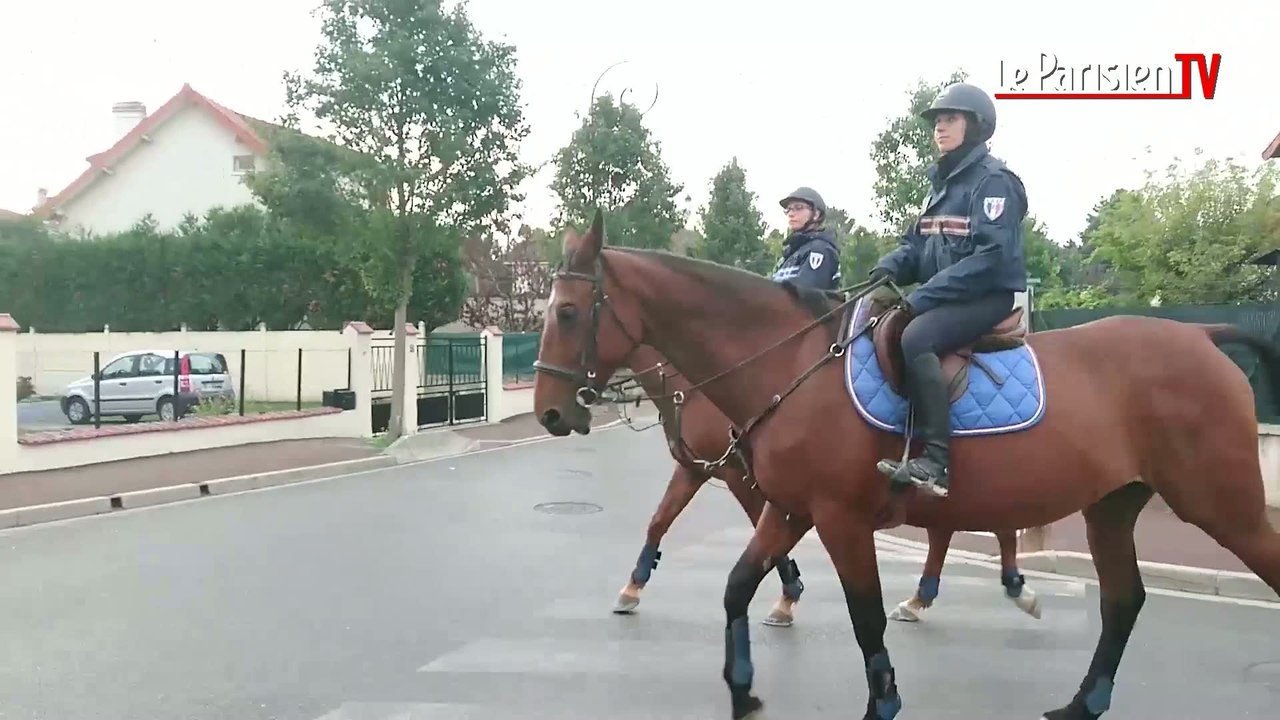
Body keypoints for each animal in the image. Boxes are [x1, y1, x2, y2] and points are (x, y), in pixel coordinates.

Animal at [579, 342, 1041, 625]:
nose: (577, 408)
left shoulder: (742, 479)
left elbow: (760, 529)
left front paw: (788, 593)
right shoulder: (695, 470)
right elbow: (659, 521)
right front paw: (633, 587)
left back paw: (1008, 587)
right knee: (954, 527)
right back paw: (926, 596)